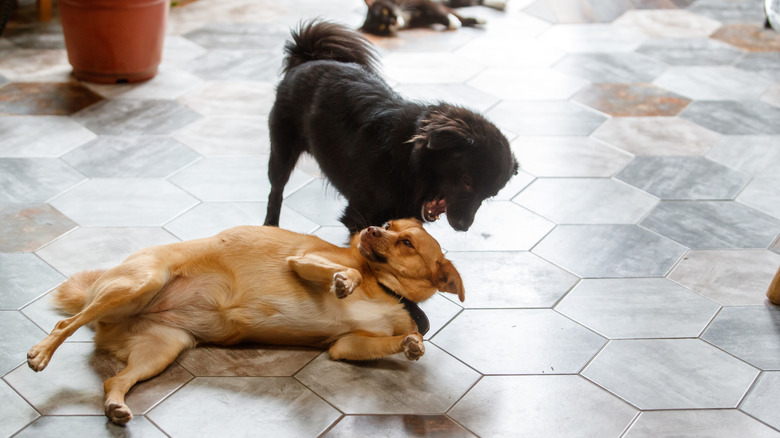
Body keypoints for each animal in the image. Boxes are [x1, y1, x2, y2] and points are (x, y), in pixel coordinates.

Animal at [24, 219, 464, 424]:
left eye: (406, 242)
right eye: (388, 226)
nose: (368, 228)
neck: (388, 289)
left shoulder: (345, 346)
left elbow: (394, 341)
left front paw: (412, 343)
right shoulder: (302, 262)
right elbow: (347, 271)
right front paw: (345, 281)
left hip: (161, 349)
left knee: (112, 380)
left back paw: (115, 406)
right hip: (139, 283)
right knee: (64, 326)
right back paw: (41, 353)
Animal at [264, 21, 516, 233]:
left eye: (489, 195)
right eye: (467, 181)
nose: (463, 227)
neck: (408, 161)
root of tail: (308, 58)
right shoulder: (360, 216)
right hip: (281, 152)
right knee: (275, 193)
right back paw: (270, 228)